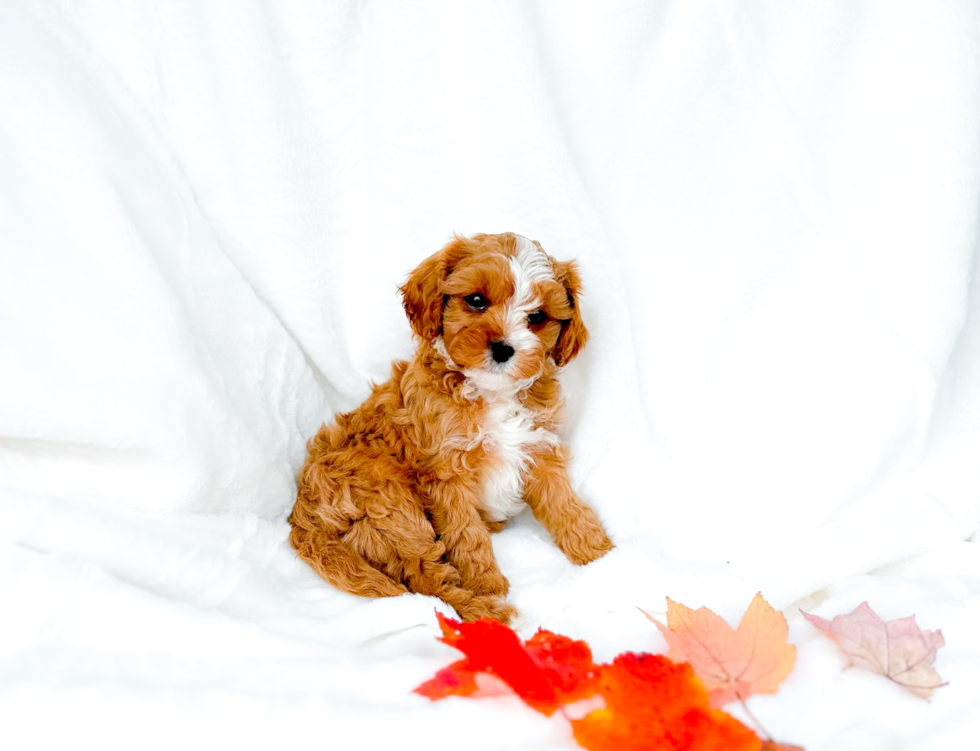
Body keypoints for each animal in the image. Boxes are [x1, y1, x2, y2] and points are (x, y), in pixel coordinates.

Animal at [288, 232, 612, 624]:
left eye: (537, 317)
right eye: (476, 301)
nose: (503, 348)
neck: (491, 392)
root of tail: (302, 511)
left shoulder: (538, 446)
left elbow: (564, 502)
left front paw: (599, 554)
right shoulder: (446, 473)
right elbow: (466, 534)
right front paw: (487, 584)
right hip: (391, 506)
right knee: (425, 579)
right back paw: (488, 613)